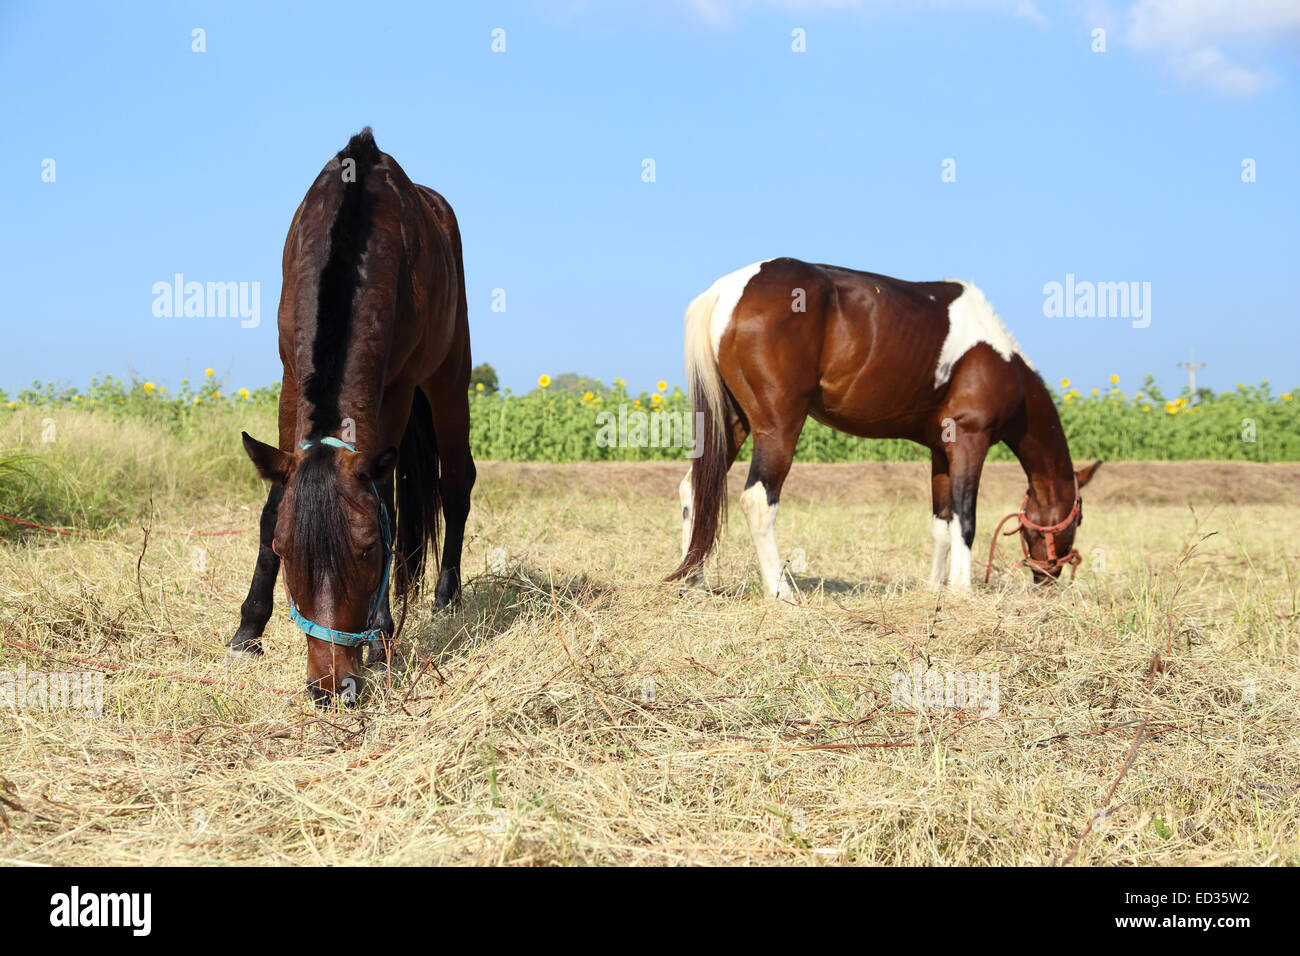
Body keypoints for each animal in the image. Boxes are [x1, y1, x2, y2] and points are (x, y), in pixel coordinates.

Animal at [229, 128, 476, 704]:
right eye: (285, 551)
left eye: (368, 551)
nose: (331, 686)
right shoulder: (290, 379)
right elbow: (274, 501)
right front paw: (249, 628)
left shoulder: (397, 390)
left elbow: (386, 501)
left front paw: (383, 634)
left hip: (450, 377)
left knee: (456, 481)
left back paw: (445, 597)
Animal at [667, 257, 1101, 600]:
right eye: (1078, 519)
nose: (1047, 580)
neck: (997, 358)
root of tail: (728, 290)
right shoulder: (969, 441)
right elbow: (965, 519)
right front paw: (961, 592)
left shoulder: (940, 452)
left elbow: (941, 524)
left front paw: (935, 588)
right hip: (777, 426)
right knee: (758, 500)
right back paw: (780, 591)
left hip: (733, 423)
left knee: (696, 488)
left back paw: (694, 581)